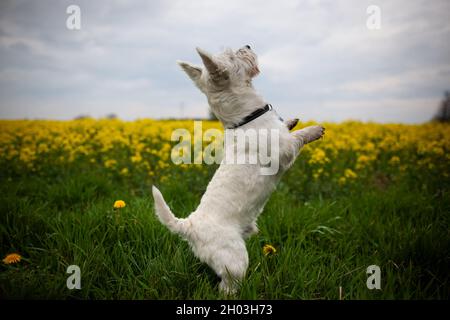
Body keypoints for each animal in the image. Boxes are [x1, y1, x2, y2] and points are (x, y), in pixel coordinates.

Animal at [153, 45, 326, 296]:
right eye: (233, 55)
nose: (247, 45)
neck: (245, 118)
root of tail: (189, 226)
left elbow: (287, 127)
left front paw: (291, 121)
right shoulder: (286, 151)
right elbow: (297, 138)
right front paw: (313, 130)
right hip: (235, 260)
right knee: (227, 286)